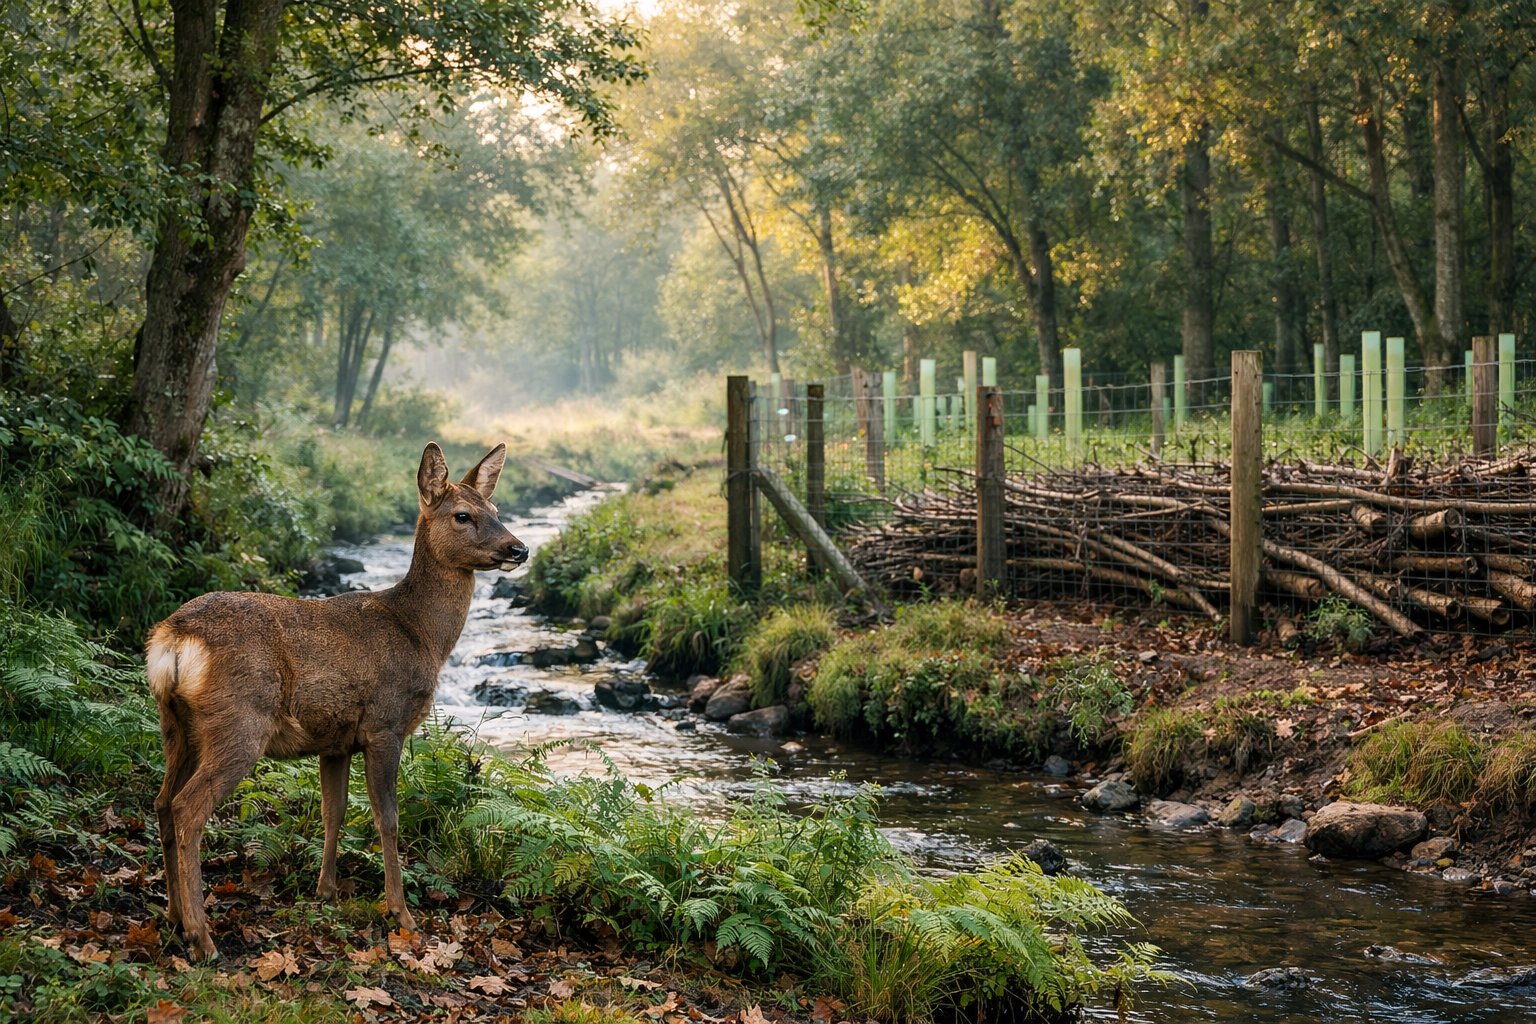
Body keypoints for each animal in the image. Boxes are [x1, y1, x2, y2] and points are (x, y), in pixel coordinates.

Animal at [146, 442, 528, 960]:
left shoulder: (336, 740)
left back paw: (172, 917)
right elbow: (387, 817)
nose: (518, 548)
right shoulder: (385, 723)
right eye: (463, 515)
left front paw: (325, 890)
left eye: (497, 510)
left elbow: (335, 810)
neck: (420, 633)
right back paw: (201, 937)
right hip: (239, 720)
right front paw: (400, 913)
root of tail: (174, 638)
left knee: (163, 802)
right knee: (188, 808)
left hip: (176, 725)